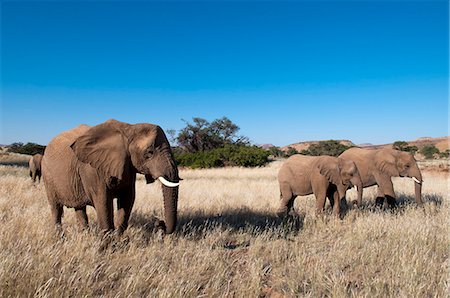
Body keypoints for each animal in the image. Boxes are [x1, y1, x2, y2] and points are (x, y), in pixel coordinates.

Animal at [41, 120, 180, 234]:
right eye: (149, 153)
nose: (160, 223)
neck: (129, 128)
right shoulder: (92, 169)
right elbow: (103, 202)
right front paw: (107, 247)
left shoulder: (128, 166)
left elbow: (127, 199)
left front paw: (119, 242)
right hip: (47, 175)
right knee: (56, 209)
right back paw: (59, 237)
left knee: (79, 208)